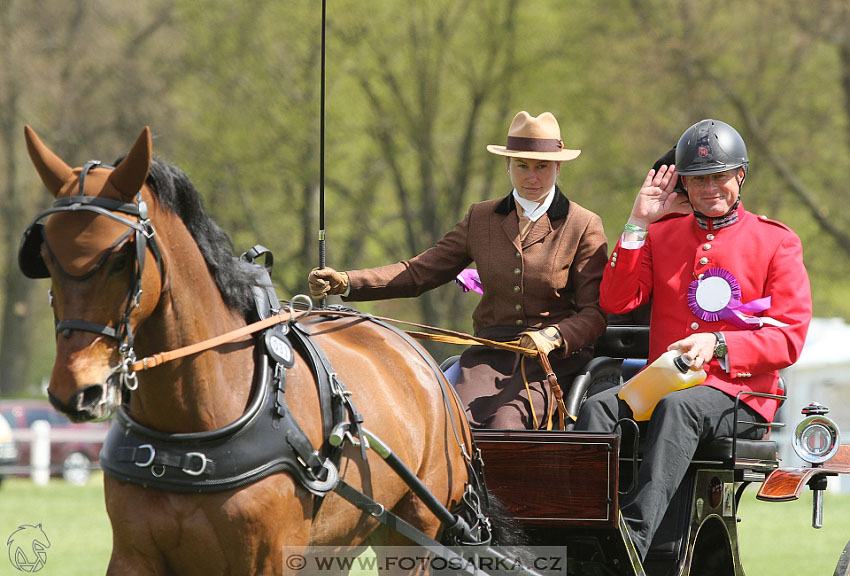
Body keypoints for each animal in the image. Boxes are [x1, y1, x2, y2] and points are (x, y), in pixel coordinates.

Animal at [21, 127, 484, 576]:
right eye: (45, 255)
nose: (77, 389)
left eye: (120, 260)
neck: (189, 425)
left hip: (414, 535)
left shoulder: (268, 557)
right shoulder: (133, 556)